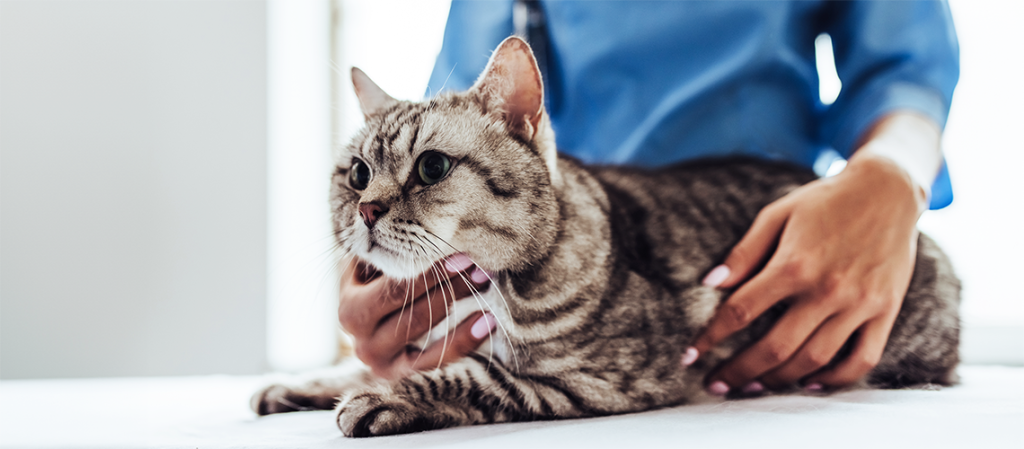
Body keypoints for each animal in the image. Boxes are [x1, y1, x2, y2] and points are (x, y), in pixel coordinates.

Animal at [249, 36, 958, 436]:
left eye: (431, 168)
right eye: (357, 174)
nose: (366, 209)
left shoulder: (598, 378)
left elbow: (470, 377)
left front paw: (379, 397)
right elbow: (368, 364)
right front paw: (305, 384)